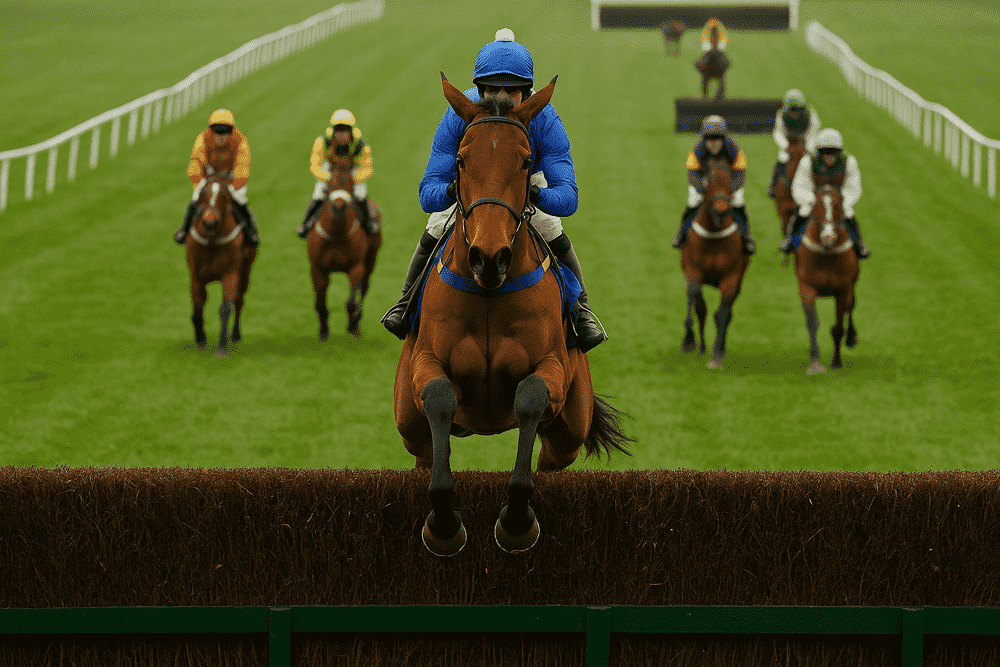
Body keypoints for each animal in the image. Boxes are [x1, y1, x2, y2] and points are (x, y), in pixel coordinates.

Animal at [185, 170, 257, 356]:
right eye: (203, 194)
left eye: (224, 196)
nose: (210, 222)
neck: (212, 240)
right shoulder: (196, 275)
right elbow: (197, 306)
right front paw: (200, 338)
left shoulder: (230, 273)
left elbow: (225, 308)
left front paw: (222, 347)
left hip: (245, 270)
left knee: (239, 301)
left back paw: (235, 335)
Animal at [306, 163, 382, 339]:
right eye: (329, 185)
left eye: (350, 184)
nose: (339, 207)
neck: (336, 234)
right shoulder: (317, 268)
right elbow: (319, 302)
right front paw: (323, 330)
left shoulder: (356, 267)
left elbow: (352, 301)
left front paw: (353, 326)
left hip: (371, 259)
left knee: (364, 287)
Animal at [394, 73, 632, 557]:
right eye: (461, 159)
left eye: (525, 162)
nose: (489, 257)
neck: (489, 292)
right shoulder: (425, 364)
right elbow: (441, 397)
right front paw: (443, 524)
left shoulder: (553, 369)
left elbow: (531, 398)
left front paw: (517, 521)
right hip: (409, 423)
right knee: (423, 447)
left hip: (570, 430)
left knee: (550, 456)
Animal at [680, 158, 752, 369]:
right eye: (708, 183)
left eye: (730, 183)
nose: (721, 212)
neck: (713, 234)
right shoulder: (692, 271)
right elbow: (698, 305)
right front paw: (689, 342)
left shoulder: (731, 277)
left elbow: (722, 314)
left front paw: (716, 356)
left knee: (727, 313)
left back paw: (720, 347)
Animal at [793, 185, 860, 374]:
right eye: (816, 206)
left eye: (838, 207)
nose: (828, 237)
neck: (827, 254)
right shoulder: (807, 286)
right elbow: (812, 323)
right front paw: (815, 364)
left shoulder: (843, 289)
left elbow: (838, 328)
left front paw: (836, 362)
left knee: (851, 307)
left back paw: (852, 337)